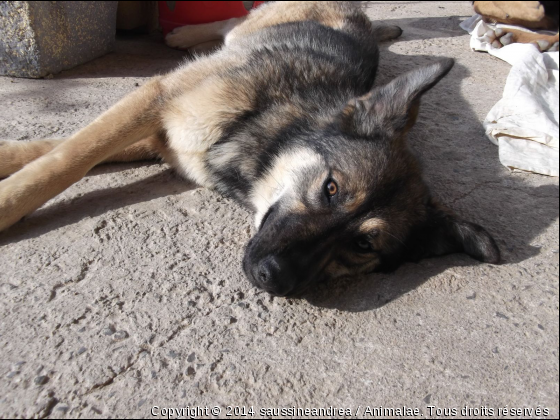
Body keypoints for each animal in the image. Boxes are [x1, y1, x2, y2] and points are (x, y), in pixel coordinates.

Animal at [0, 2, 498, 298]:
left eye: (363, 244)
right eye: (331, 188)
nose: (275, 279)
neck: (267, 131)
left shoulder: (164, 140)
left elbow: (60, 148)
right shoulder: (158, 99)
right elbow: (66, 158)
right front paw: (9, 200)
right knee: (234, 21)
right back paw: (185, 34)